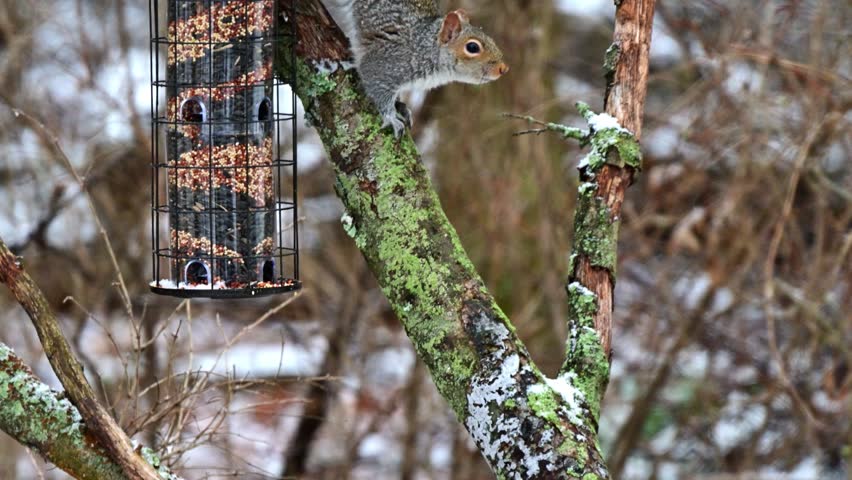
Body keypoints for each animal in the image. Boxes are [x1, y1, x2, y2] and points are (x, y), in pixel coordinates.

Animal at [320, 0, 509, 137]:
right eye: (472, 47)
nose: (504, 69)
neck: (422, 48)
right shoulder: (384, 65)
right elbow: (376, 86)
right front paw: (391, 117)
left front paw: (400, 105)